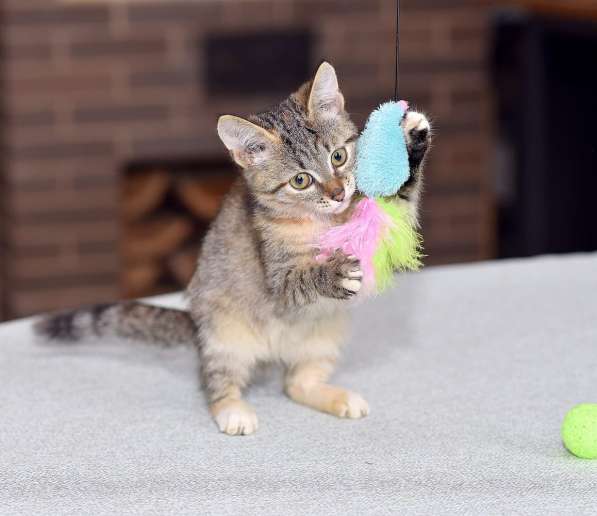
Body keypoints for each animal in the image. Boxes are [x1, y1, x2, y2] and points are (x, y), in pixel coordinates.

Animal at [35, 62, 430, 438]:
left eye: (338, 156)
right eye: (300, 180)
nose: (337, 194)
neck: (319, 220)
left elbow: (398, 208)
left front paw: (412, 142)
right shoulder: (276, 283)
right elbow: (297, 281)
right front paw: (331, 273)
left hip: (325, 334)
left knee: (296, 384)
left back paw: (337, 397)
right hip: (223, 334)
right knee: (219, 381)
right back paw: (232, 411)